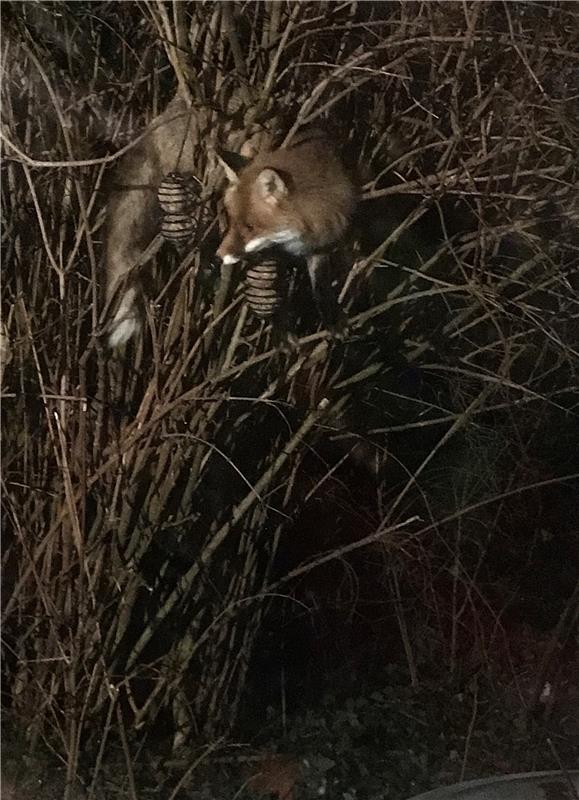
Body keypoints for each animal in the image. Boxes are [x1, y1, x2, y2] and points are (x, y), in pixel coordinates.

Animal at [218, 130, 358, 330]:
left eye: (250, 227)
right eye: (231, 221)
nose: (218, 255)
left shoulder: (322, 241)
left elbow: (320, 284)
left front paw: (332, 317)